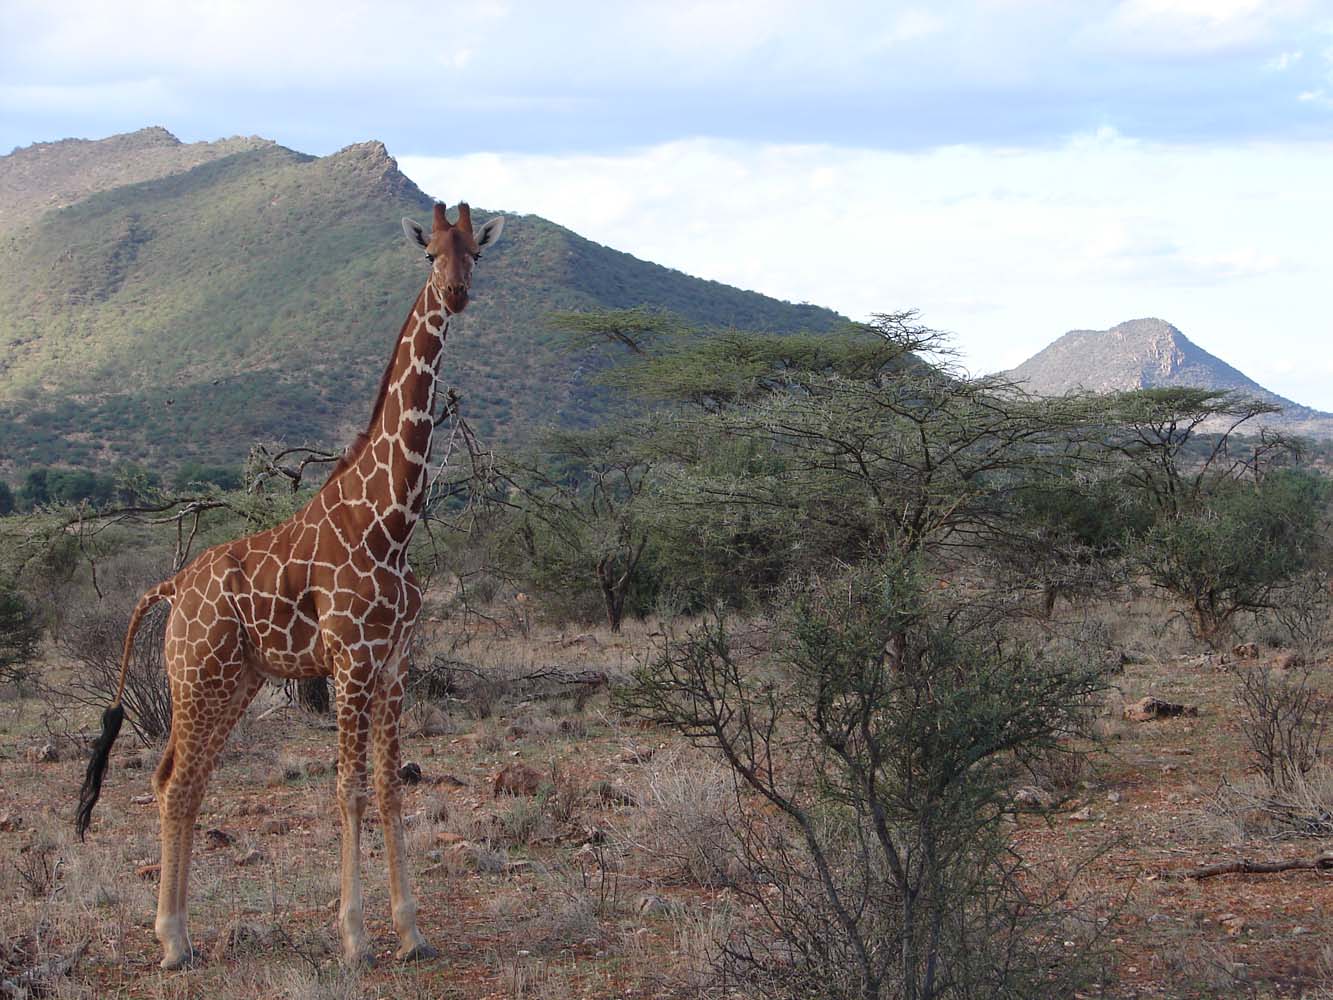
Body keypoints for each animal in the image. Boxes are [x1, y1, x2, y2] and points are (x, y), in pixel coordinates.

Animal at [76, 200, 503, 965]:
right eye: (429, 254)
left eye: (475, 254)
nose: (456, 294)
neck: (389, 520)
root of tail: (170, 587)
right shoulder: (350, 660)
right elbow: (349, 789)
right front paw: (355, 938)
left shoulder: (394, 662)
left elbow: (391, 788)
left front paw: (411, 932)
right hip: (199, 675)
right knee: (178, 782)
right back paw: (173, 943)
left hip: (235, 678)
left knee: (178, 779)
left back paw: (176, 930)